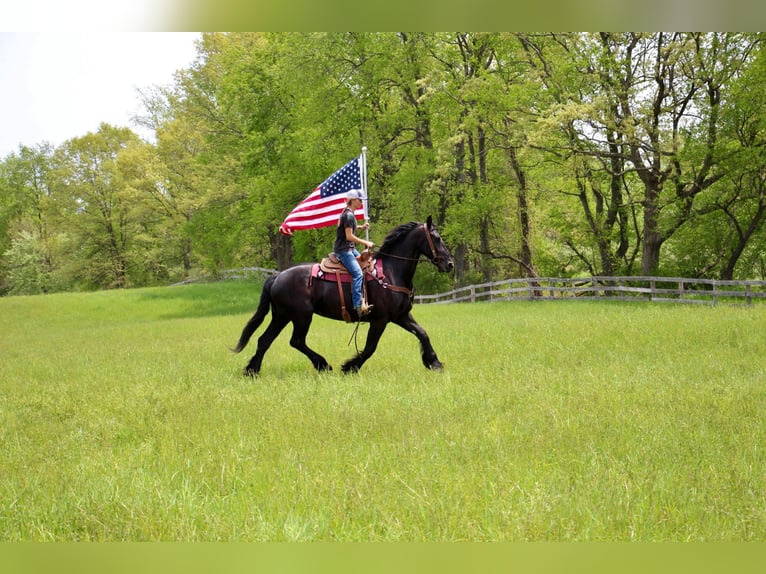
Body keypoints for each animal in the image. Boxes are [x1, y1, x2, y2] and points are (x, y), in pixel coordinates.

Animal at [231, 217, 452, 378]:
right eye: (436, 237)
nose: (449, 264)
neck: (390, 272)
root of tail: (277, 277)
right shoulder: (380, 320)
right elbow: (370, 347)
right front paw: (350, 367)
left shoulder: (401, 316)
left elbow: (422, 333)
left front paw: (434, 363)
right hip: (301, 316)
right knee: (296, 341)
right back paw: (322, 365)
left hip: (282, 316)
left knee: (265, 340)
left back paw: (252, 370)